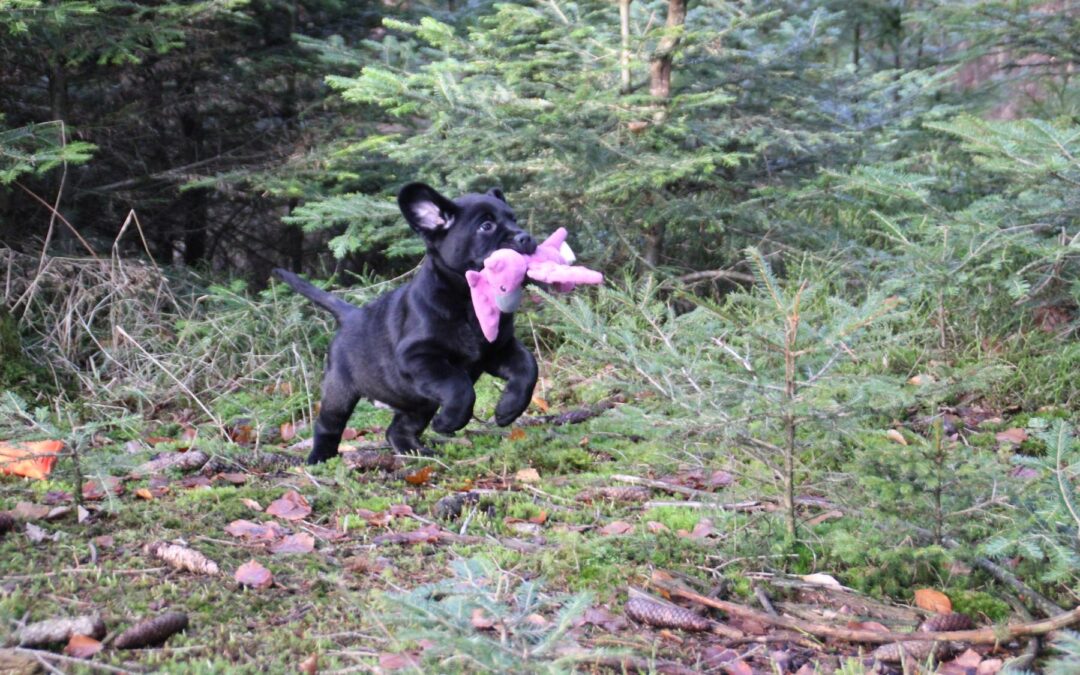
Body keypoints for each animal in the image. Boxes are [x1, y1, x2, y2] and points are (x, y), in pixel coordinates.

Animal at [272, 180, 537, 462]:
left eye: (514, 219)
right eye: (486, 226)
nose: (525, 237)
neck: (469, 300)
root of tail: (351, 314)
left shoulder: (499, 349)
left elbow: (528, 368)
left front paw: (508, 409)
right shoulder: (418, 357)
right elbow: (460, 386)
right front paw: (449, 422)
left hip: (418, 402)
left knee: (397, 429)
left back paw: (416, 451)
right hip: (340, 391)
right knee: (328, 425)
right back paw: (319, 458)